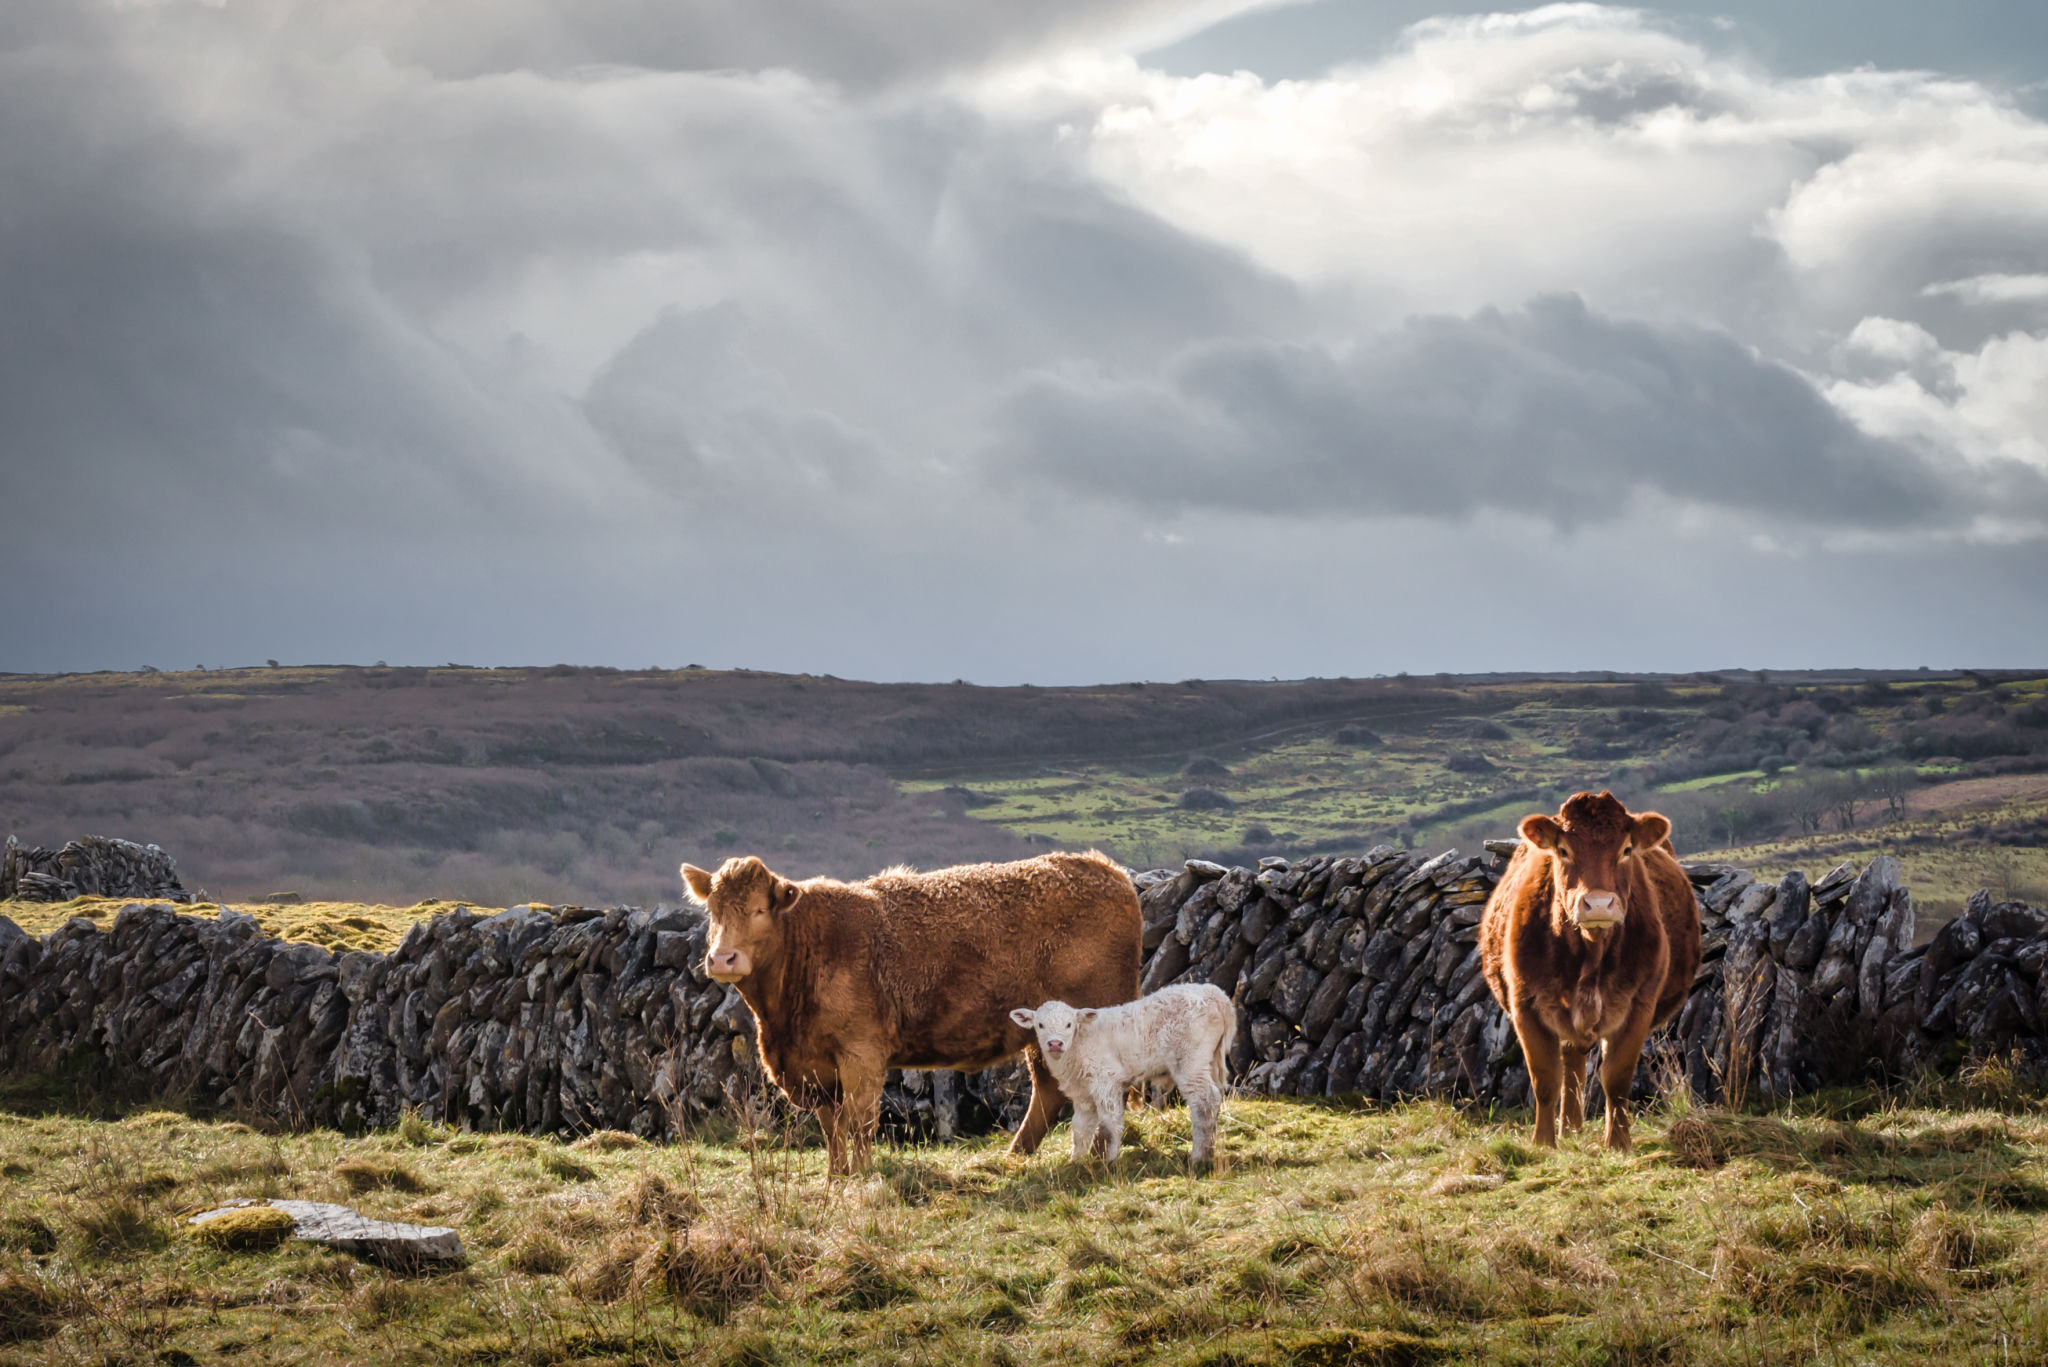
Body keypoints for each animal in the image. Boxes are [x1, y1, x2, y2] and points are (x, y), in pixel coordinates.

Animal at [681, 850, 1141, 1174]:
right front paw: (836, 1174)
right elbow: (832, 1126)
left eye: (760, 910)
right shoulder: (814, 1069)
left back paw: (1096, 1153)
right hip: (1042, 1034)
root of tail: (1107, 869)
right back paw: (1016, 1155)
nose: (722, 959)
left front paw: (862, 1173)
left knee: (1101, 1091)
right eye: (713, 911)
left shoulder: (861, 1054)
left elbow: (860, 1120)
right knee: (1048, 1091)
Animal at [1009, 983, 1237, 1166]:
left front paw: (1109, 1161)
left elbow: (1110, 1122)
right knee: (1215, 1098)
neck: (1077, 1045)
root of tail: (1216, 995)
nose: (1055, 1043)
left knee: (1204, 1100)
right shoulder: (1083, 1094)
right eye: (1040, 1025)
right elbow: (1080, 1129)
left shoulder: (1105, 1080)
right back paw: (1209, 1150)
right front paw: (1076, 1162)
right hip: (1211, 1060)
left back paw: (1199, 1157)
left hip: (1191, 1060)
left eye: (1069, 1024)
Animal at [1479, 791, 1700, 1151]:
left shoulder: (1638, 1006)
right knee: (1570, 1066)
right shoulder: (1524, 1005)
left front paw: (1618, 1143)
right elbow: (1545, 1079)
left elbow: (1617, 1079)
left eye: (1626, 850)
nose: (1598, 904)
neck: (1590, 952)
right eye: (1563, 850)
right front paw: (1543, 1143)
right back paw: (1568, 1128)